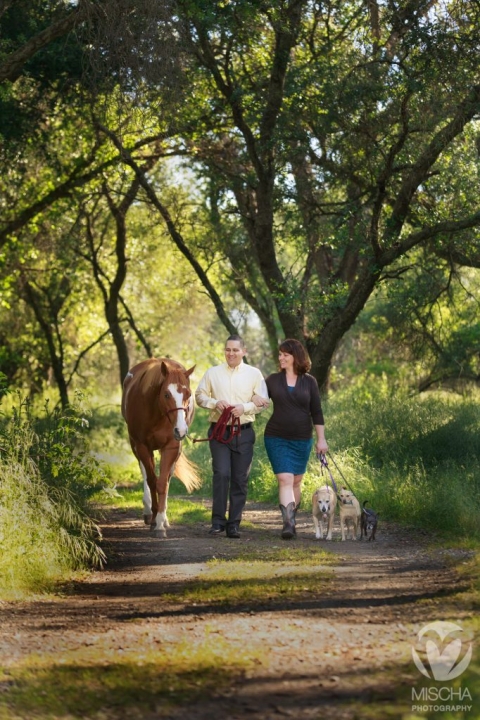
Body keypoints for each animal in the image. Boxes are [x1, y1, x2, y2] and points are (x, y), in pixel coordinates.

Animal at [122, 358, 202, 536]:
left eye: (188, 395)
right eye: (166, 394)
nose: (181, 430)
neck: (157, 413)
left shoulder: (172, 447)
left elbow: (163, 483)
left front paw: (160, 522)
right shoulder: (142, 446)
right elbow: (152, 481)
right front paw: (153, 519)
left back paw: (163, 518)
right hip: (136, 445)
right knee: (145, 473)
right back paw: (148, 512)